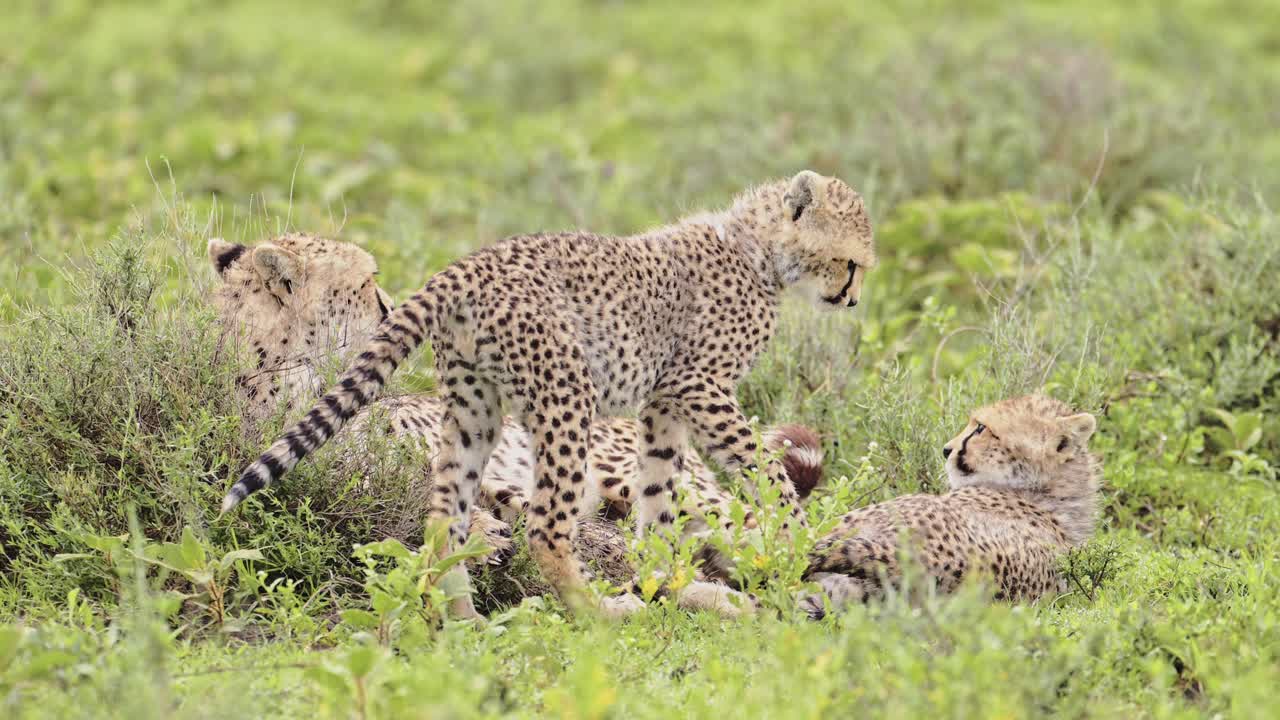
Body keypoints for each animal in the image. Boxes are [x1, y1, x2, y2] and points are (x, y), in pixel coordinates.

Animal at [221, 170, 876, 618]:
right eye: (850, 263)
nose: (852, 300)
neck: (756, 248)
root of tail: (468, 264)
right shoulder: (701, 387)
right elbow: (765, 473)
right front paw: (793, 541)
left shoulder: (664, 402)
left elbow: (660, 493)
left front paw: (664, 572)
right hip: (566, 392)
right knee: (543, 525)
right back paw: (600, 611)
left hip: (475, 408)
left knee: (444, 518)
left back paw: (464, 618)